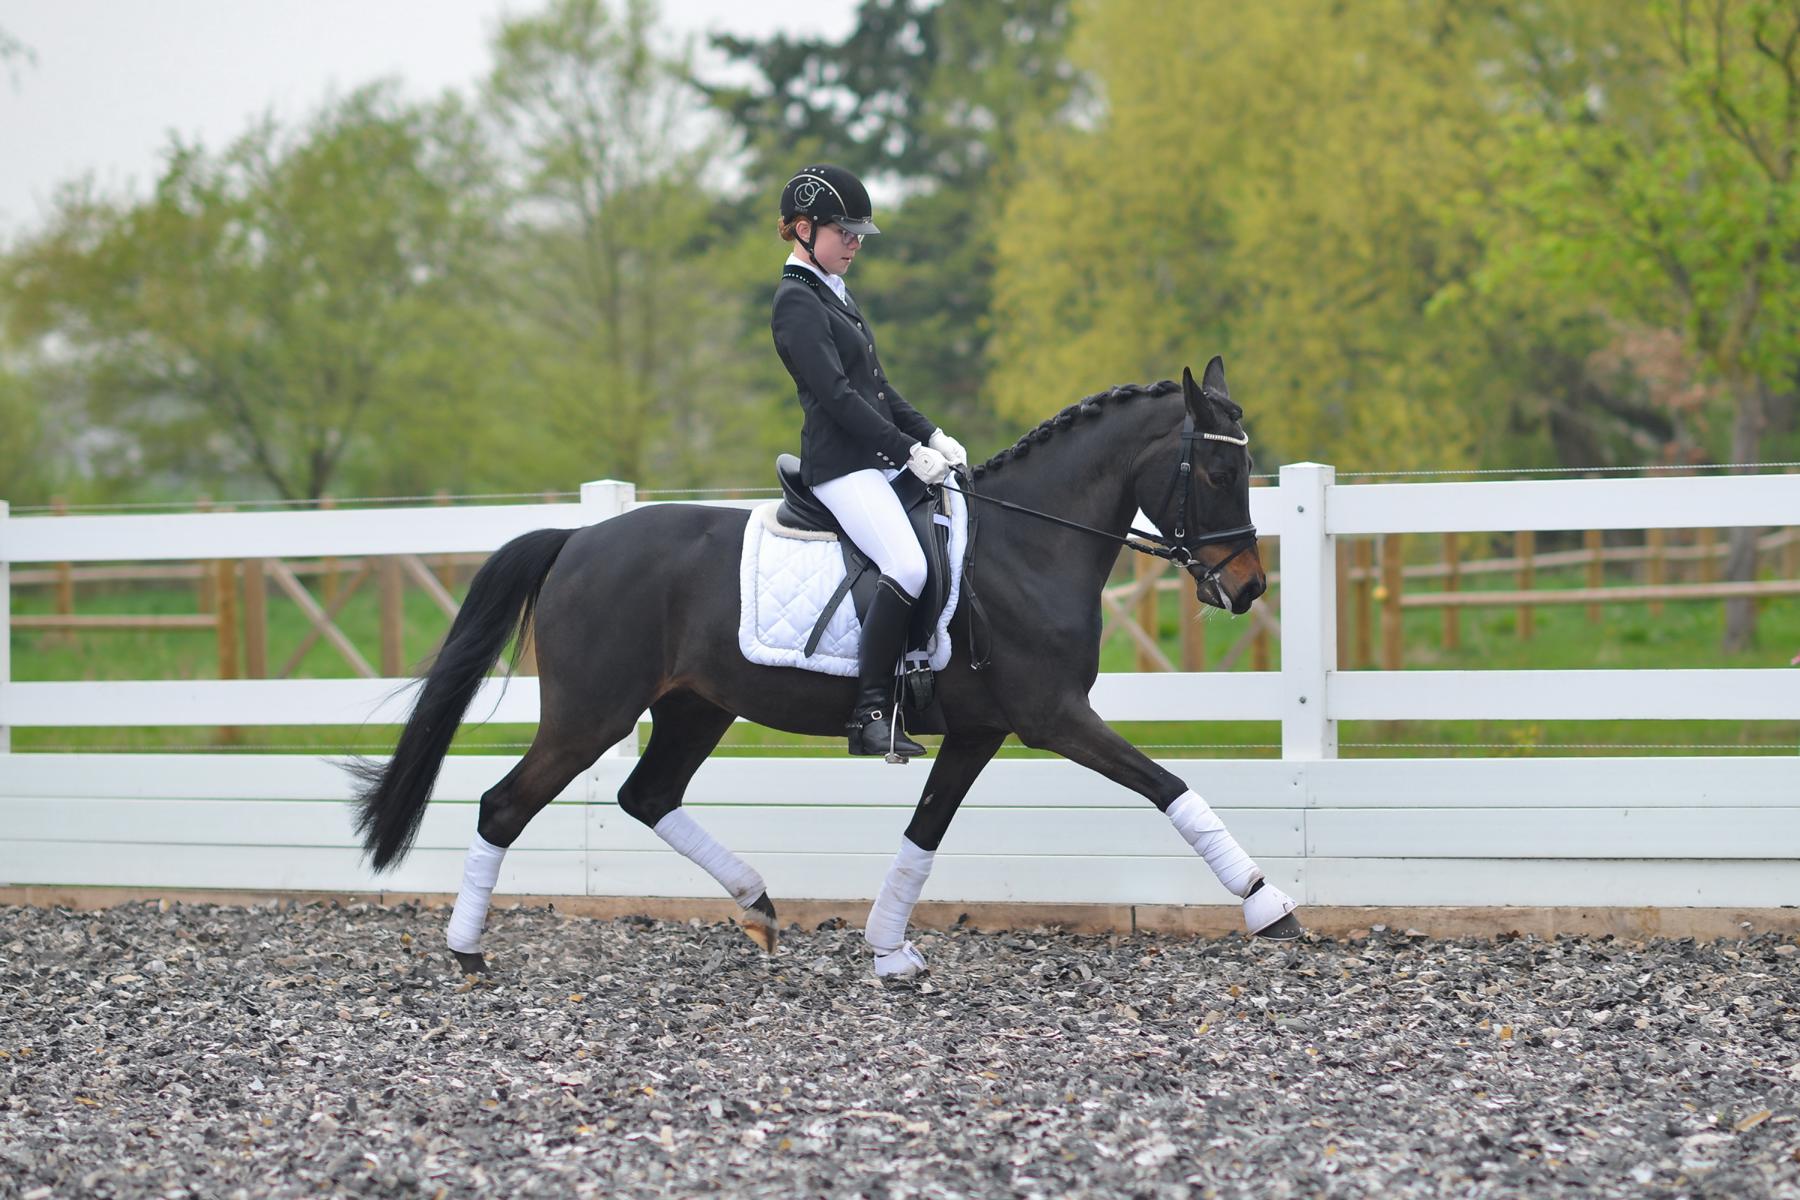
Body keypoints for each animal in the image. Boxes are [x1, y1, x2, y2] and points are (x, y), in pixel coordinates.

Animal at [350, 357, 1302, 980]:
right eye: (1219, 468)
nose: (1249, 587)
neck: (1028, 545)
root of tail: (578, 538)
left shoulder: (981, 730)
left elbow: (925, 833)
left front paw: (889, 950)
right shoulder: (1053, 716)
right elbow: (1169, 786)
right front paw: (1268, 902)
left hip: (695, 707)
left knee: (647, 796)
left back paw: (758, 905)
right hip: (591, 714)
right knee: (504, 805)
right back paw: (468, 952)